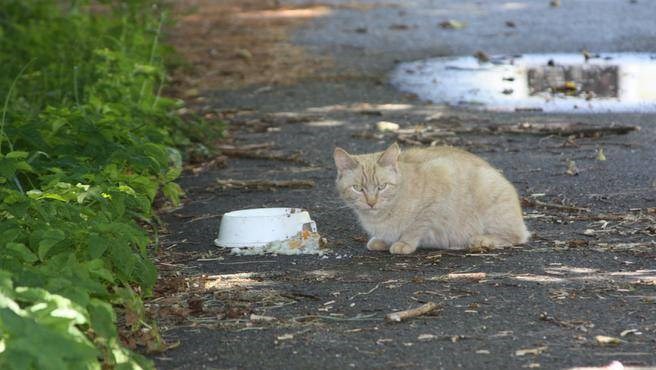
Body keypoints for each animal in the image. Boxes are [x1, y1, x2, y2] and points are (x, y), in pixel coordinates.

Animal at [336, 142, 532, 254]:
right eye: (357, 188)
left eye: (382, 187)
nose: (371, 202)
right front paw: (382, 240)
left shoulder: (439, 186)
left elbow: (416, 226)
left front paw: (404, 243)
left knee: (516, 236)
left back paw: (481, 240)